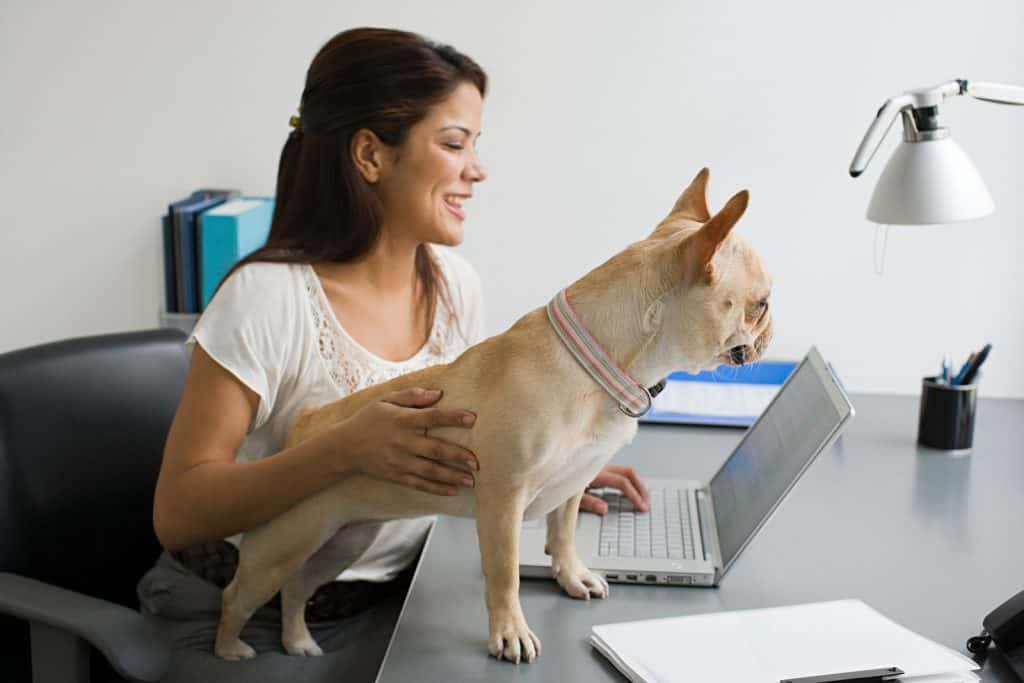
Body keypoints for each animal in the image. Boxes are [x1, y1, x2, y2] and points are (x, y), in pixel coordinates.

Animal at [218, 167, 774, 663]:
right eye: (761, 304)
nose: (772, 327)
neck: (598, 365)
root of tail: (306, 429)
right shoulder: (503, 497)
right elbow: (505, 573)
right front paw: (509, 635)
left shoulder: (573, 485)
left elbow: (563, 533)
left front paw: (571, 575)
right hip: (283, 545)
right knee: (238, 595)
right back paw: (231, 650)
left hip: (343, 541)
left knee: (297, 589)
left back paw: (297, 641)